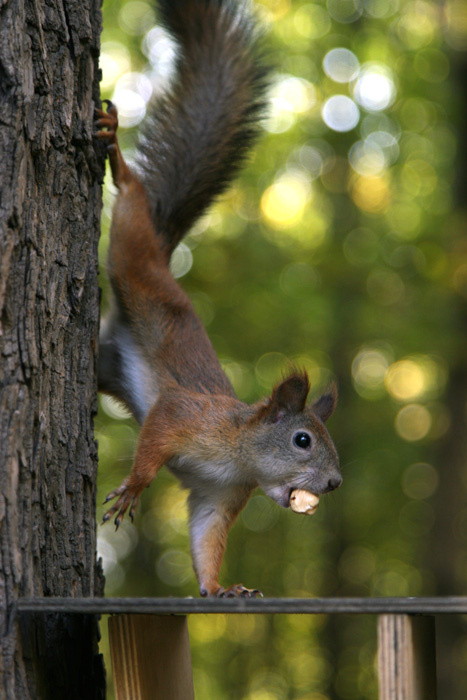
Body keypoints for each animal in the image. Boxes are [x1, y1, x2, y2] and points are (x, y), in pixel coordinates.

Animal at [95, 0, 341, 598]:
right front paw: (133, 487)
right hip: (136, 260)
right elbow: (155, 436)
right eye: (303, 439)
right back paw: (116, 150)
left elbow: (206, 538)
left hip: (107, 365)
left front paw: (221, 589)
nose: (334, 482)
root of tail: (164, 255)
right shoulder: (186, 416)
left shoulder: (219, 497)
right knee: (131, 207)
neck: (239, 457)